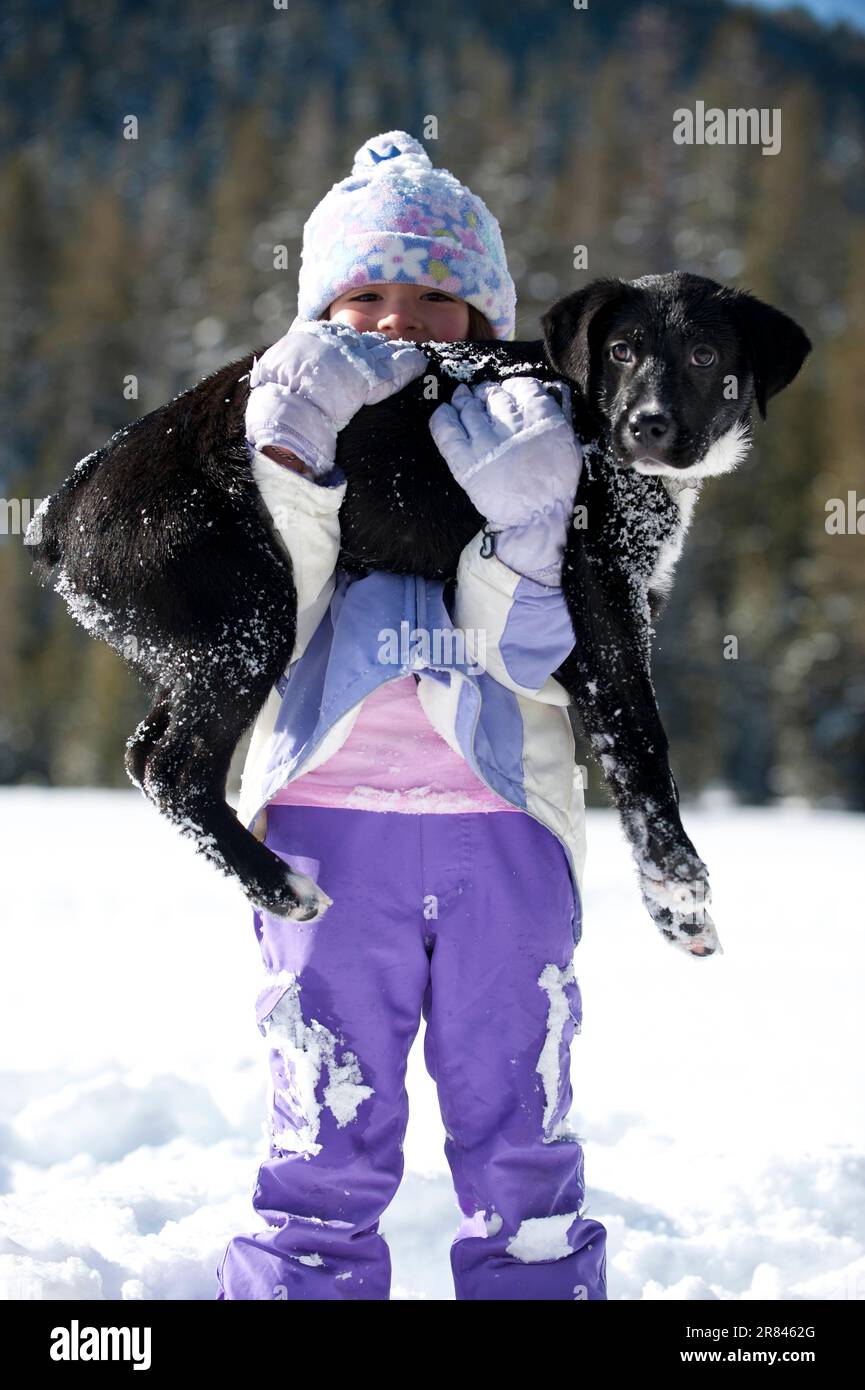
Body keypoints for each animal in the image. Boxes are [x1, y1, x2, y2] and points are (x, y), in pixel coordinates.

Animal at [25, 271, 812, 945]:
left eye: (706, 356)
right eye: (621, 351)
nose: (646, 425)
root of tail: (62, 508)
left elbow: (622, 751)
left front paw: (672, 910)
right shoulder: (603, 610)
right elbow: (645, 745)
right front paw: (677, 879)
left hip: (192, 642)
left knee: (145, 751)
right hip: (250, 618)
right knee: (171, 765)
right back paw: (282, 887)